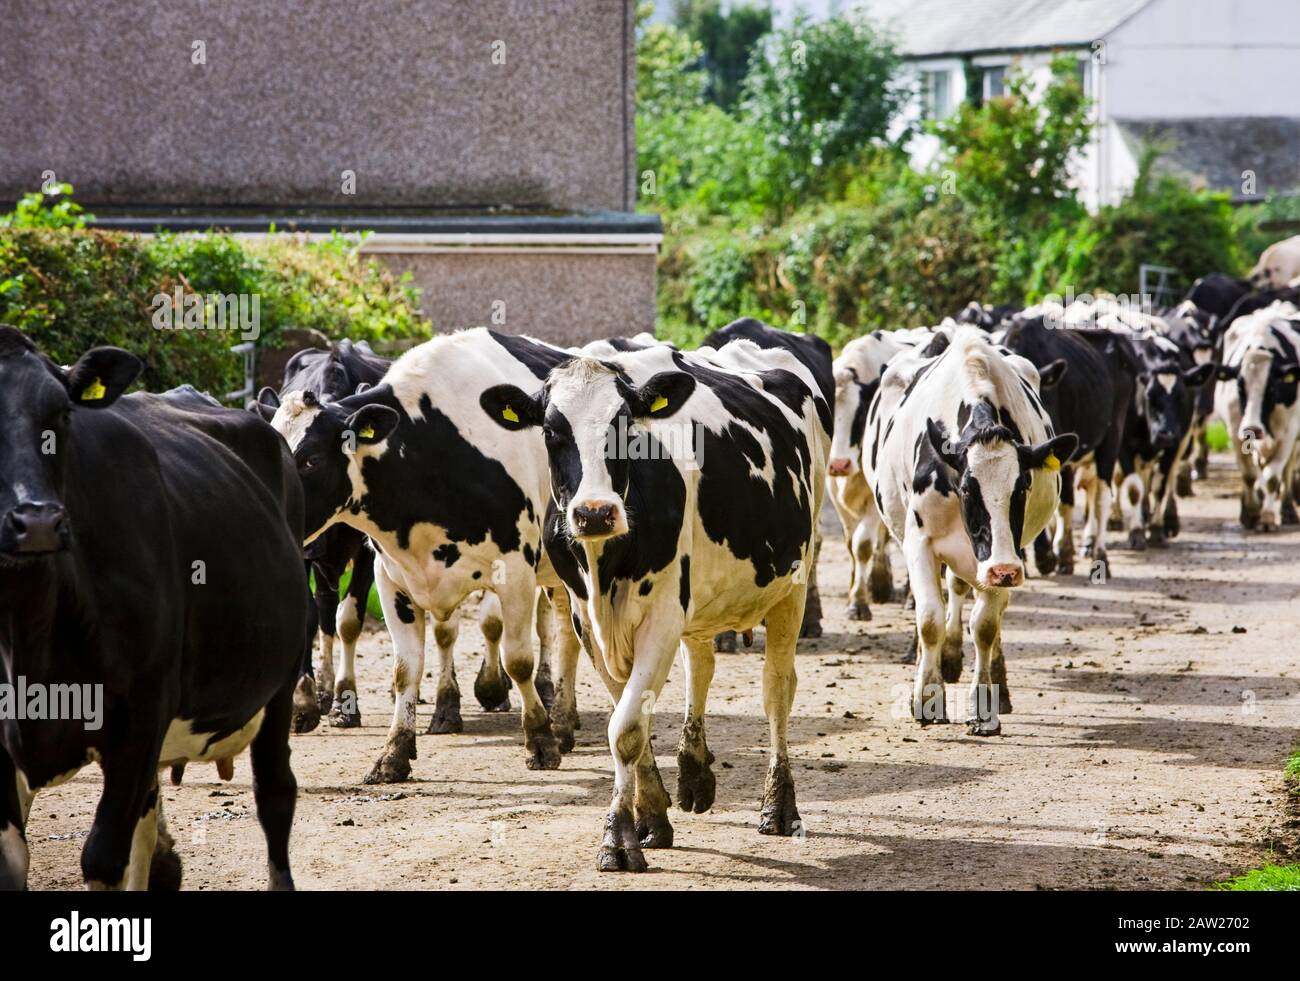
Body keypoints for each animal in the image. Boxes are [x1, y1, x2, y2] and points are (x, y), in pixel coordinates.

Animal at [0, 327, 306, 888]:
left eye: (62, 414)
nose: (35, 521)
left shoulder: (141, 714)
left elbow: (102, 858)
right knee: (146, 825)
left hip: (280, 679)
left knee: (275, 794)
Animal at [480, 332, 832, 873]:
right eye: (552, 432)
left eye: (625, 425)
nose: (594, 512)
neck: (605, 563)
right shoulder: (589, 622)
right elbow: (632, 720)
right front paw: (651, 816)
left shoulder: (662, 616)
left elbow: (625, 728)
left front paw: (618, 838)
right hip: (701, 601)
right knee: (701, 666)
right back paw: (694, 773)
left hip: (792, 583)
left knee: (777, 691)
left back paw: (779, 806)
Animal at [863, 330, 1076, 738]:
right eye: (966, 489)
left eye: (1023, 487)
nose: (1004, 571)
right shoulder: (919, 542)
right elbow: (929, 619)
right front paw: (927, 697)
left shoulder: (1002, 555)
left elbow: (986, 627)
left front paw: (984, 708)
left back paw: (998, 681)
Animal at [1211, 301, 1300, 530]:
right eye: (1239, 387)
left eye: (1272, 389)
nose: (1252, 428)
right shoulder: (1235, 428)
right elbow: (1249, 474)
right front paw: (1250, 512)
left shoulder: (1289, 431)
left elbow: (1273, 476)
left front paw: (1267, 517)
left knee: (1286, 470)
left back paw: (1286, 510)